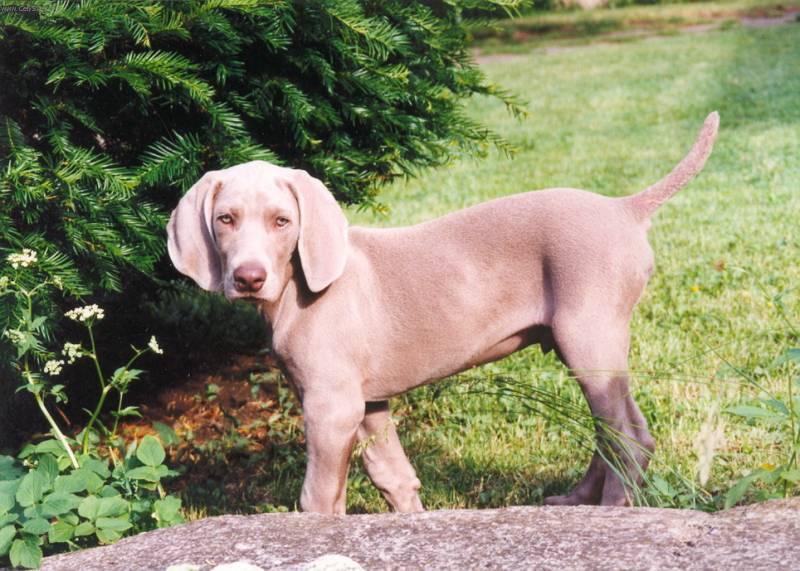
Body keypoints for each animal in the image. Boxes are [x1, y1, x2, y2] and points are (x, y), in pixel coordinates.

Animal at [167, 111, 720, 512]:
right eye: (225, 219)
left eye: (282, 221)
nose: (248, 278)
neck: (297, 289)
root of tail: (623, 207)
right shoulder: (368, 403)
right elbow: (393, 476)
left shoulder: (331, 404)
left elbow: (319, 496)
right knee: (617, 431)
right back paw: (578, 500)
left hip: (590, 338)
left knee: (628, 435)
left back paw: (612, 509)